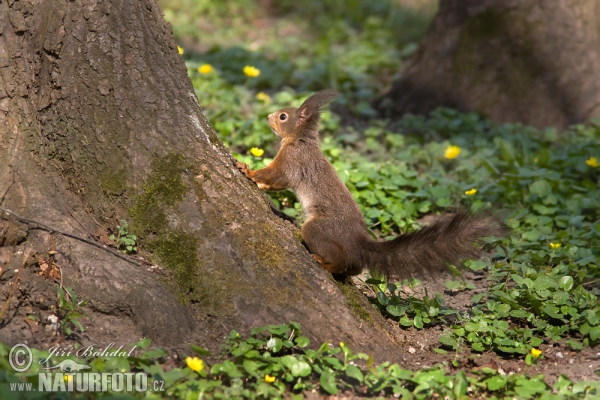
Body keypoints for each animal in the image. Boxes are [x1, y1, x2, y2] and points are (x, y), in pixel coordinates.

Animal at [237, 90, 508, 278]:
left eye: (283, 116)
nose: (268, 116)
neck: (300, 140)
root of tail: (359, 245)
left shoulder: (293, 163)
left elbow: (276, 176)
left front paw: (248, 171)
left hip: (319, 230)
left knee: (338, 260)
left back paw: (323, 262)